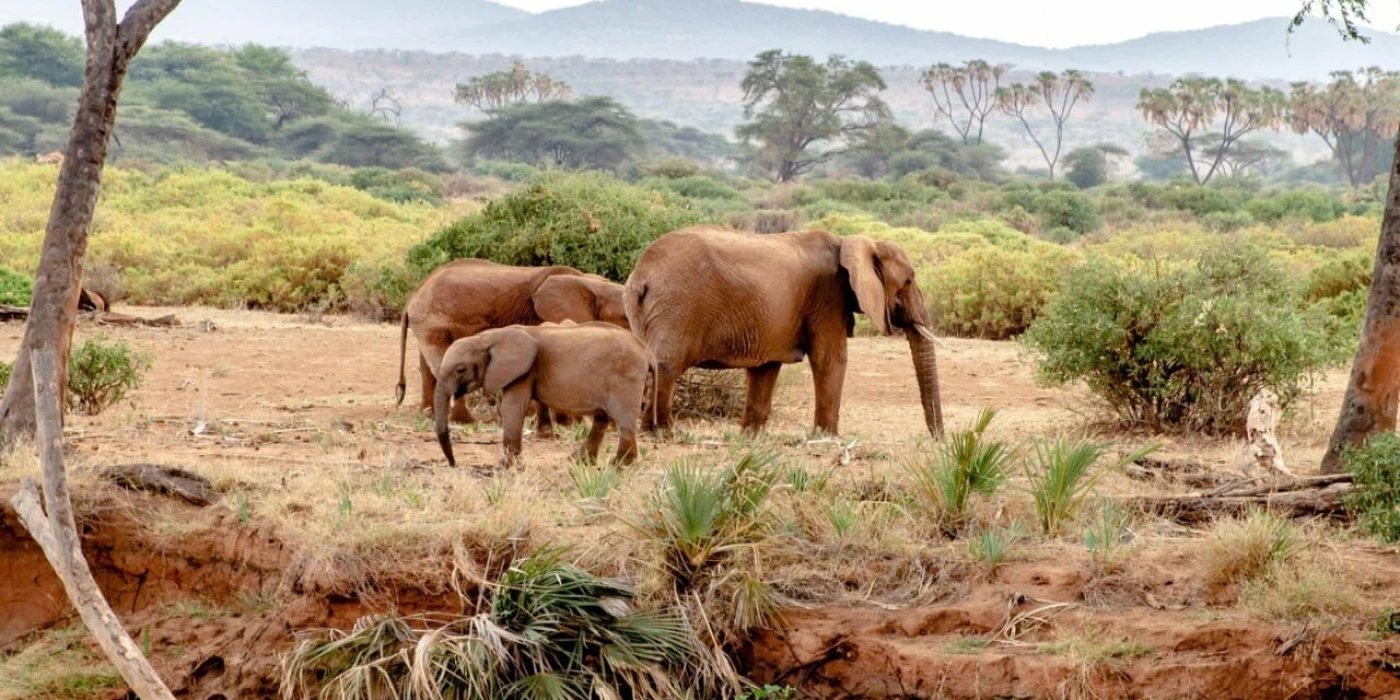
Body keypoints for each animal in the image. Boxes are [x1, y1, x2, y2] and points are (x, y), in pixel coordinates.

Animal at [397, 257, 632, 431]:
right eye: (626, 317)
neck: (591, 282)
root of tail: (415, 292)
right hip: (434, 320)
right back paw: (465, 421)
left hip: (428, 323)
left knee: (427, 368)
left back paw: (428, 415)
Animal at [431, 322, 649, 470]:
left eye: (461, 369)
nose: (454, 464)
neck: (486, 338)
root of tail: (645, 349)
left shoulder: (524, 371)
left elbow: (512, 407)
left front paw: (504, 466)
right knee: (602, 420)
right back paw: (579, 462)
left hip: (625, 379)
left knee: (624, 420)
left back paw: (619, 466)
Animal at [621, 224, 940, 439]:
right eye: (908, 281)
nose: (938, 439)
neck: (849, 242)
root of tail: (641, 275)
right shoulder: (827, 297)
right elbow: (829, 359)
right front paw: (827, 438)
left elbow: (765, 368)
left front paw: (751, 436)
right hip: (677, 304)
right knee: (666, 365)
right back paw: (662, 433)